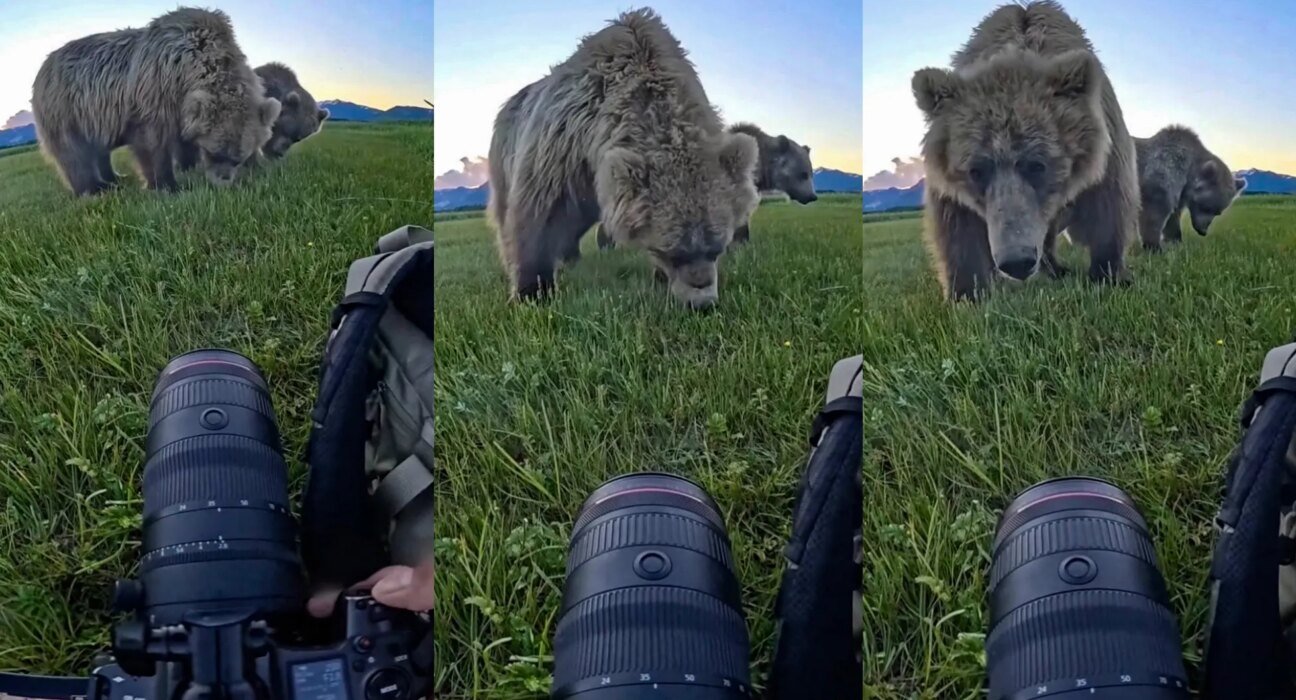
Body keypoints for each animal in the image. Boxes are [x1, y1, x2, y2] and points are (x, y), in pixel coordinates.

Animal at [32, 7, 279, 196]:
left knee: (99, 149)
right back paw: (93, 188)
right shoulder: (154, 91)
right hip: (65, 109)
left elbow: (184, 140)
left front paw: (189, 166)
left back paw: (114, 177)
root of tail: (43, 65)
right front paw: (167, 185)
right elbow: (153, 143)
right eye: (214, 152)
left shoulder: (182, 107)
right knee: (73, 153)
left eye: (237, 158)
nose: (224, 181)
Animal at [487, 8, 759, 310]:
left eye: (716, 248)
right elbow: (538, 213)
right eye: (674, 252)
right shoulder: (564, 145)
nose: (702, 303)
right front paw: (532, 290)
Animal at [911, 0, 1138, 301]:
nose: (1016, 262)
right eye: (976, 170)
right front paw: (967, 292)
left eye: (1037, 165)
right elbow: (956, 224)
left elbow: (1109, 204)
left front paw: (1107, 273)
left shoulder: (1107, 147)